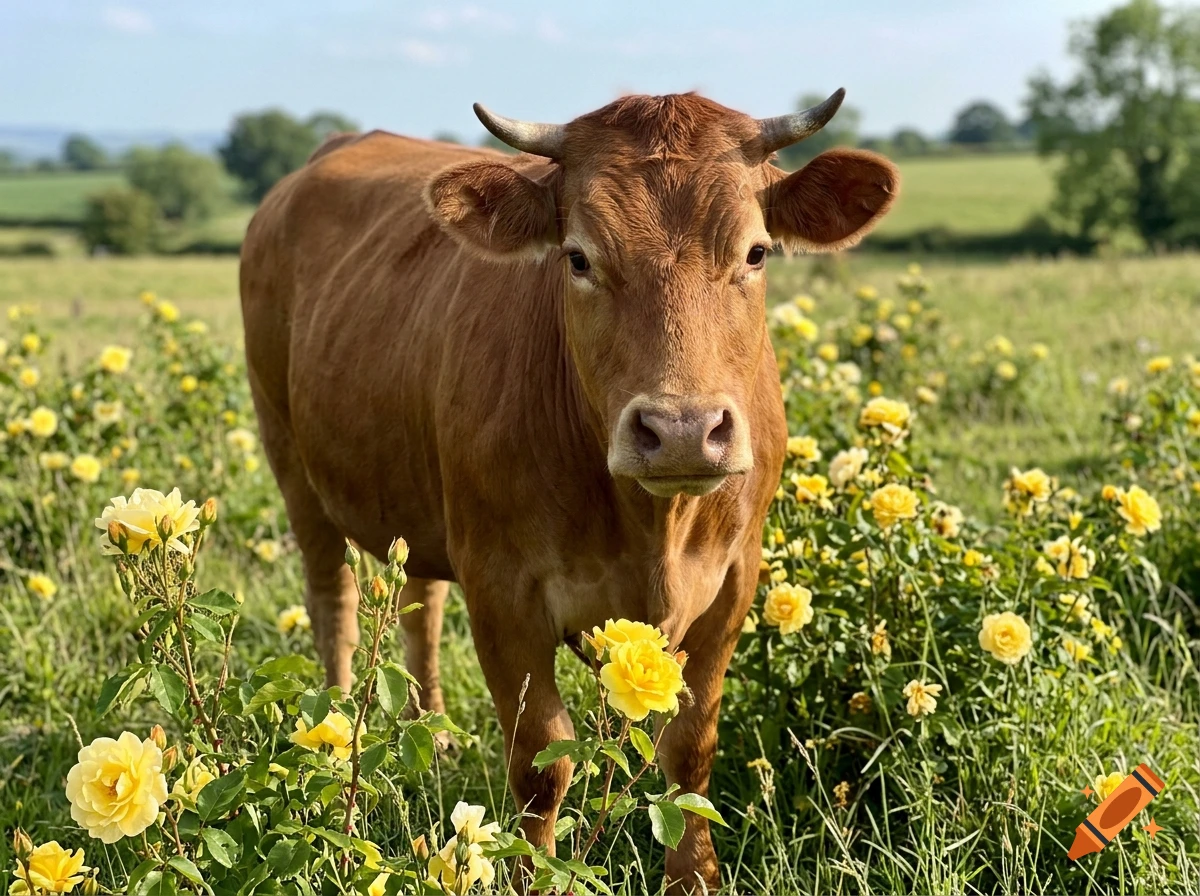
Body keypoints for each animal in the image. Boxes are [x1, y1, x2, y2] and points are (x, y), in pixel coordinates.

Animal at [239, 89, 898, 892]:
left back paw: (430, 731)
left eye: (755, 251)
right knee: (332, 601)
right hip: (290, 457)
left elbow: (691, 748)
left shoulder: (735, 580)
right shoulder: (502, 590)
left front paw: (694, 877)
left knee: (419, 599)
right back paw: (334, 744)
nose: (682, 429)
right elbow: (540, 763)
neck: (655, 525)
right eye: (579, 257)